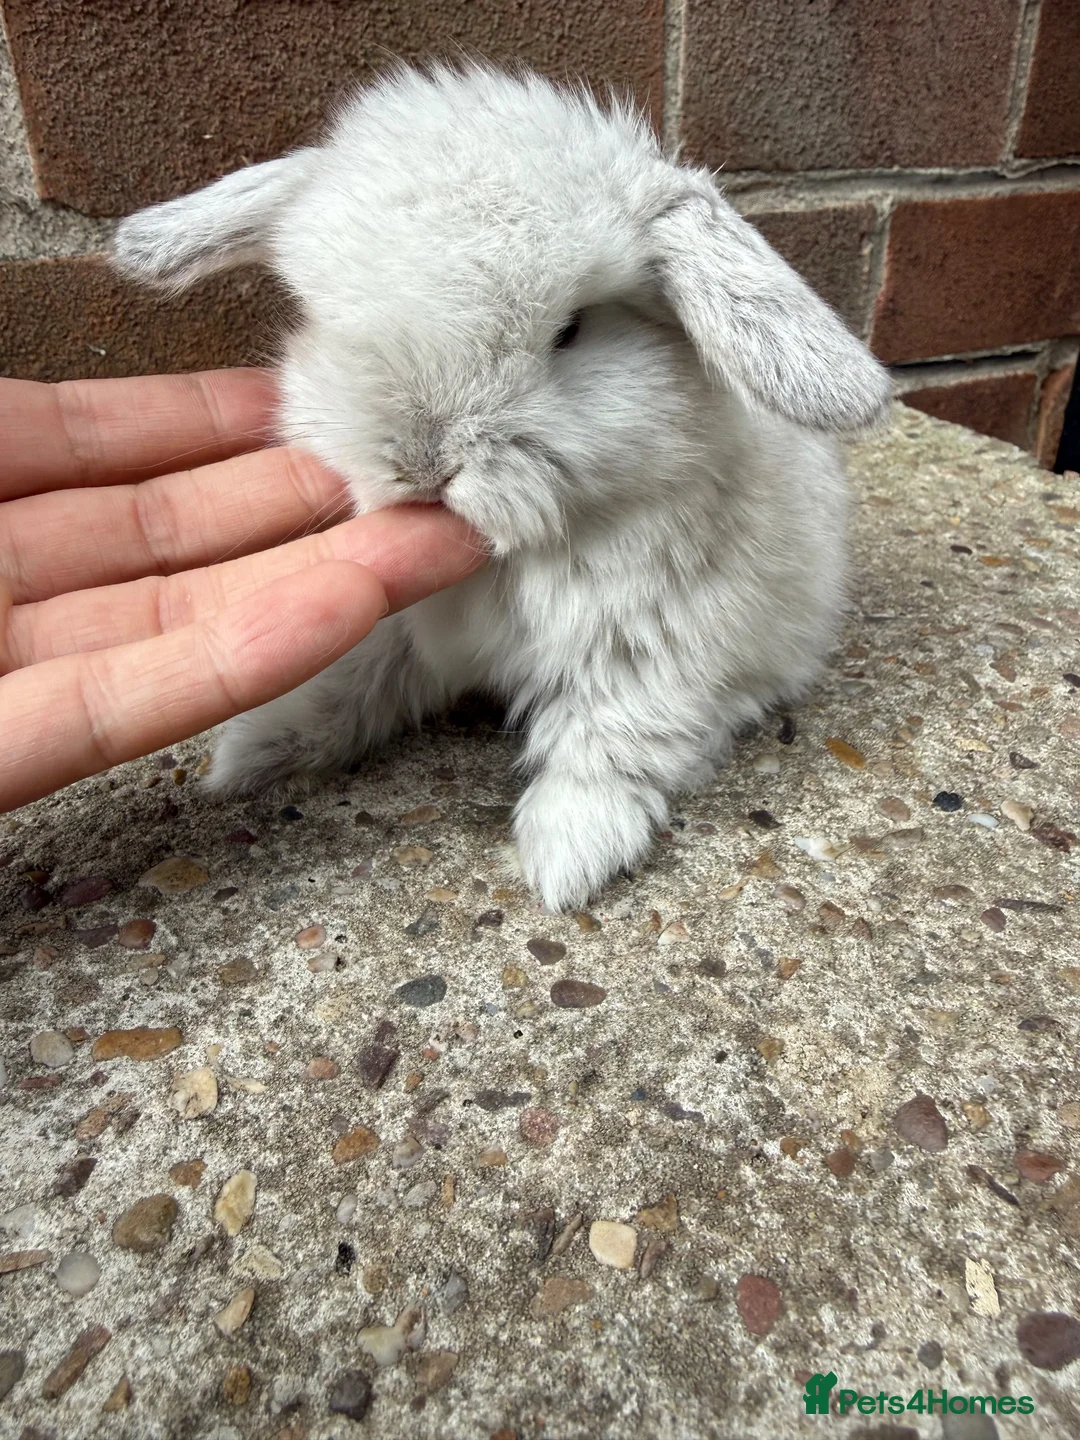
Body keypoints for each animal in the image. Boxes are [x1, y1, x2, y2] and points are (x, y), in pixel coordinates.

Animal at [113, 61, 890, 913]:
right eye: (326, 321)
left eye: (571, 330)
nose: (422, 464)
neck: (510, 559)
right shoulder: (391, 625)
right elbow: (349, 683)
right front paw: (252, 754)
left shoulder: (653, 648)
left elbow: (609, 740)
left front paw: (567, 860)